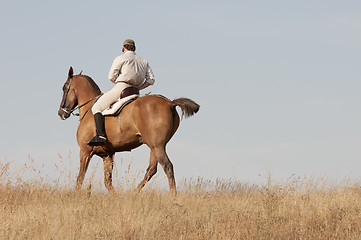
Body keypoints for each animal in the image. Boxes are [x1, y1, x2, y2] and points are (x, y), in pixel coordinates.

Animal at [58, 67, 200, 193]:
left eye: (64, 88)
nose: (61, 113)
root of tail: (170, 102)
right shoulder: (107, 155)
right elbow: (107, 182)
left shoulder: (85, 151)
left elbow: (80, 178)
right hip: (155, 146)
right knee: (151, 169)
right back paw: (134, 193)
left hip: (157, 146)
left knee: (167, 167)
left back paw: (172, 196)